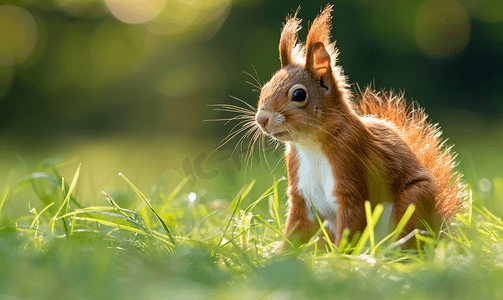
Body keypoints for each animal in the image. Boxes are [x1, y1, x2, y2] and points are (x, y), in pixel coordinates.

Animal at [254, 4, 466, 250]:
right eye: (265, 88)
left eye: (299, 94)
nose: (261, 119)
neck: (311, 145)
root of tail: (439, 234)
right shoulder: (301, 195)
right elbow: (295, 231)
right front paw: (279, 256)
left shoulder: (351, 168)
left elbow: (352, 223)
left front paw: (336, 257)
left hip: (413, 204)